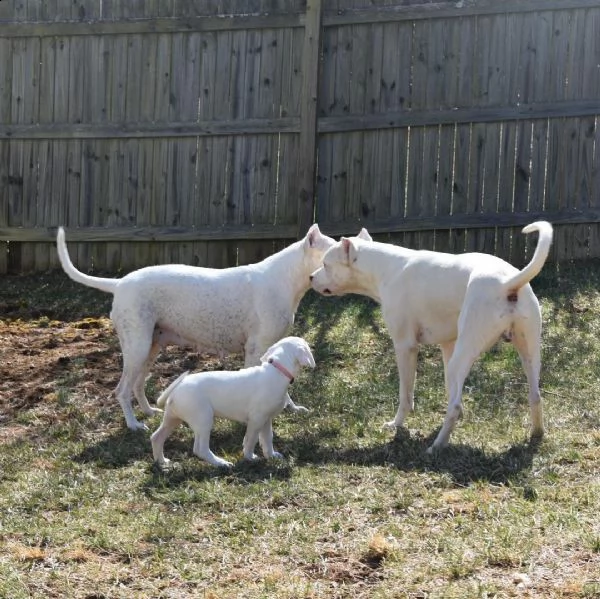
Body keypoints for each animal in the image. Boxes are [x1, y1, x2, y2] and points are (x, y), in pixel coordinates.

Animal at [56, 225, 336, 432]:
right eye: (329, 255)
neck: (285, 277)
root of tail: (120, 283)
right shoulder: (256, 350)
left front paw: (292, 408)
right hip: (137, 348)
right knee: (122, 390)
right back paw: (134, 424)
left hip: (150, 347)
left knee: (137, 385)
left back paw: (148, 412)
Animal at [150, 338, 316, 468]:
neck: (276, 370)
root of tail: (177, 387)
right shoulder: (256, 420)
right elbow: (251, 439)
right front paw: (250, 457)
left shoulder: (266, 419)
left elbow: (267, 439)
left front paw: (272, 456)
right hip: (203, 420)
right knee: (200, 449)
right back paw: (221, 463)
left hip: (172, 419)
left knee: (156, 437)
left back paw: (163, 463)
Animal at [312, 223, 556, 452]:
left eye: (326, 264)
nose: (311, 277)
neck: (385, 267)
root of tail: (508, 283)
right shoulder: (447, 346)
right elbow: (450, 388)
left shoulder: (405, 347)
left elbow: (406, 395)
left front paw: (396, 424)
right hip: (528, 353)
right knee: (535, 396)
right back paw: (536, 434)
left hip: (464, 354)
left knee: (453, 407)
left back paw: (437, 446)